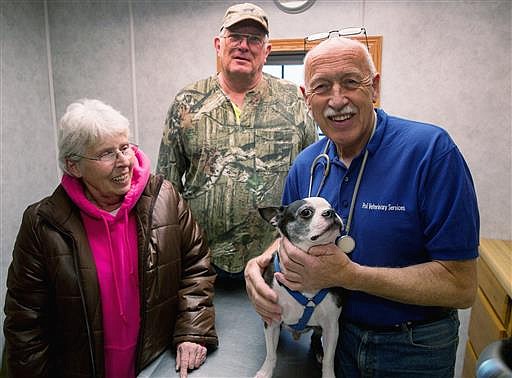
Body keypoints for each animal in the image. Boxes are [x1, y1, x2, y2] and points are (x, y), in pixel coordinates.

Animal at [256, 198, 344, 378]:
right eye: (306, 212)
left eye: (331, 207)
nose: (331, 212)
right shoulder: (272, 320)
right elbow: (271, 354)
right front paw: (265, 372)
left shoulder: (332, 326)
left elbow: (329, 360)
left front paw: (328, 373)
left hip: (320, 329)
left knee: (316, 339)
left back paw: (319, 352)